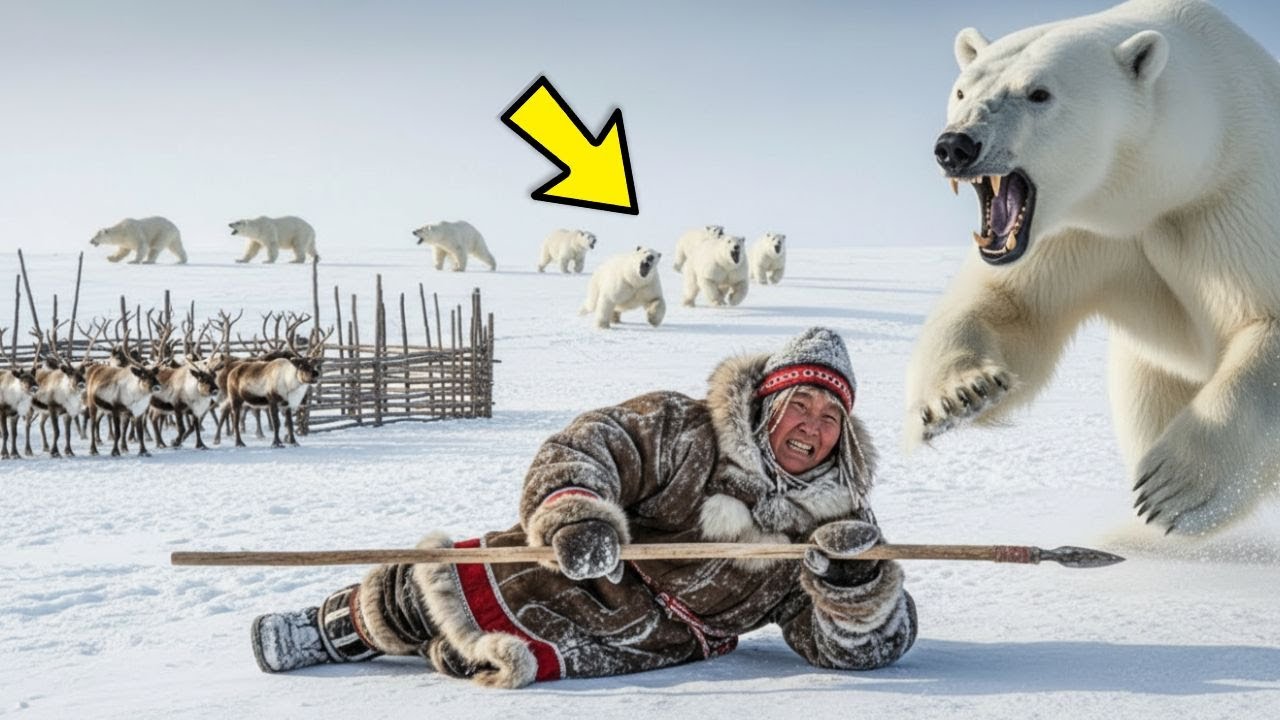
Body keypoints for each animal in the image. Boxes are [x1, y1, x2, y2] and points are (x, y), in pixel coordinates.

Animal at [904, 0, 1280, 536]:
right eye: (962, 89)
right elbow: (1013, 305)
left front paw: (1172, 488)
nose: (956, 145)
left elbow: (1263, 323)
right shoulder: (1078, 229)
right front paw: (960, 393)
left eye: (1039, 93)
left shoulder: (1236, 200)